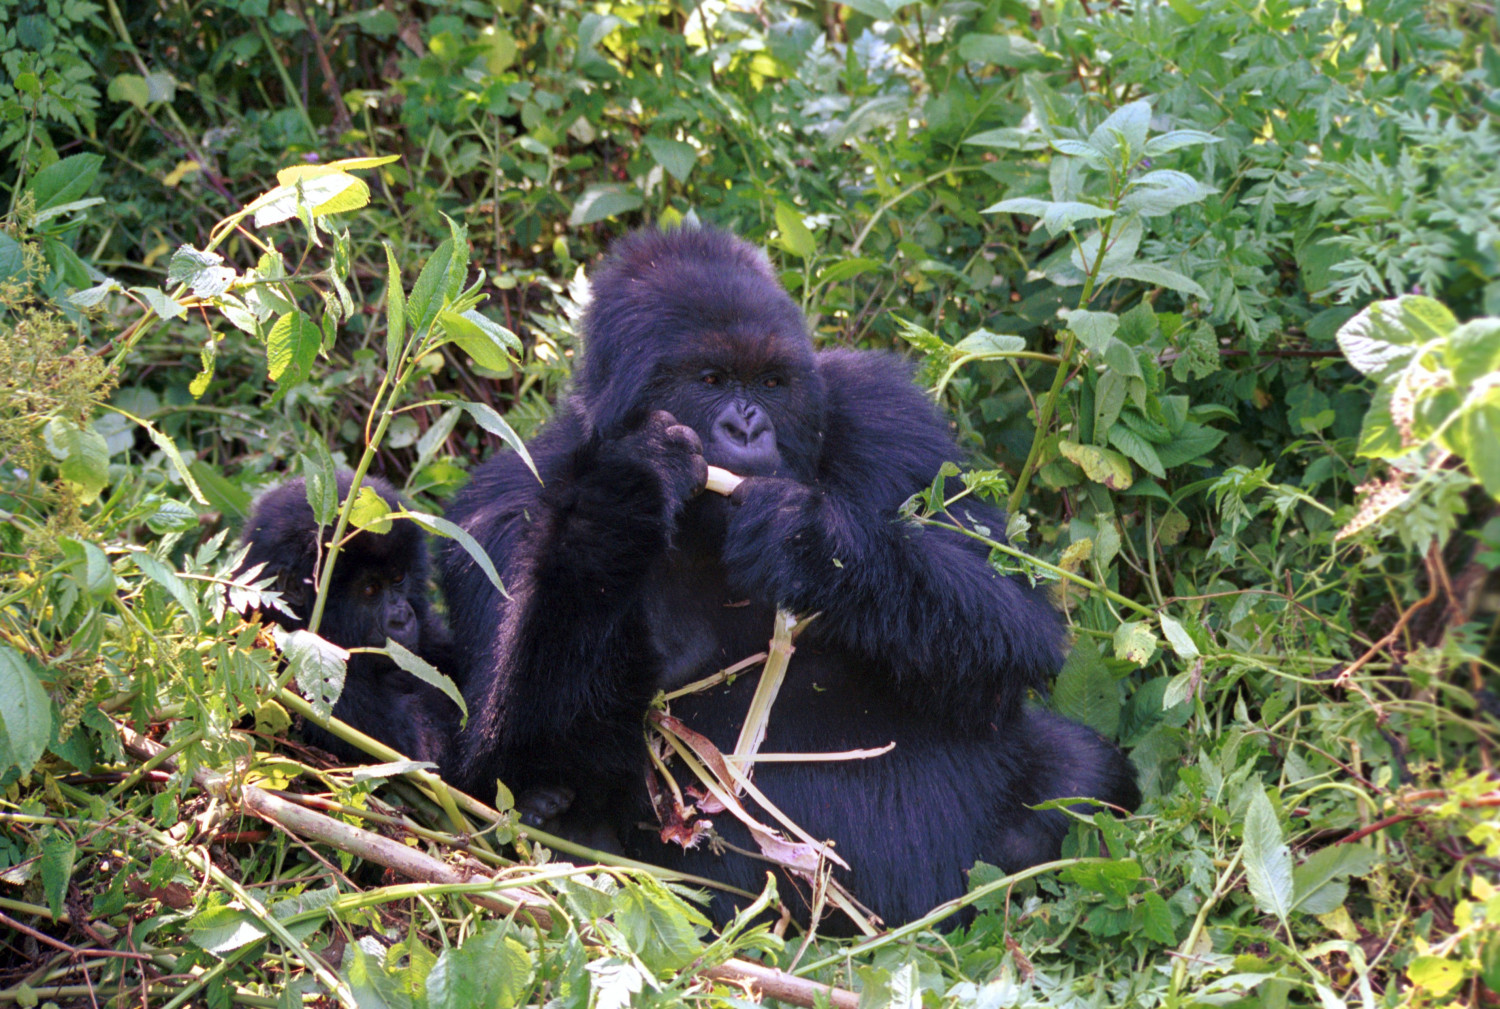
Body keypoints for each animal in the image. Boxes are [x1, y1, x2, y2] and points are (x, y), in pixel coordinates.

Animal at [441, 230, 1134, 929]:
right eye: (711, 380)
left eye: (770, 383)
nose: (747, 425)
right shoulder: (496, 513)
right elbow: (506, 755)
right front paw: (630, 487)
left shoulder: (887, 414)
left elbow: (1015, 627)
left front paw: (805, 541)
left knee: (1077, 770)